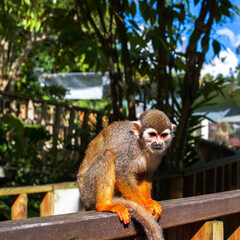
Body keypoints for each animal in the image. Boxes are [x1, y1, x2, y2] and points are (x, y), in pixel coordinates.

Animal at [78, 109, 175, 239]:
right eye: (152, 134)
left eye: (163, 135)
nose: (159, 143)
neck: (142, 144)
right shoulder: (128, 147)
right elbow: (121, 171)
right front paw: (144, 205)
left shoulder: (157, 154)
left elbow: (145, 173)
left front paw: (148, 201)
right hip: (89, 189)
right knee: (108, 154)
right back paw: (104, 205)